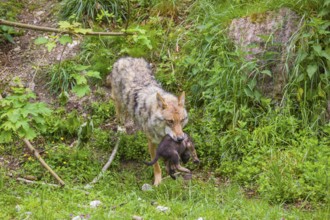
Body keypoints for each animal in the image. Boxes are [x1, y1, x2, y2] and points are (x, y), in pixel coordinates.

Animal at [107, 57, 188, 186]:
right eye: (170, 121)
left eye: (181, 121)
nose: (180, 138)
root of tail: (124, 58)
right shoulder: (151, 144)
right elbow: (156, 165)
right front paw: (158, 182)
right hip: (118, 102)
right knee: (119, 115)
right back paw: (121, 129)